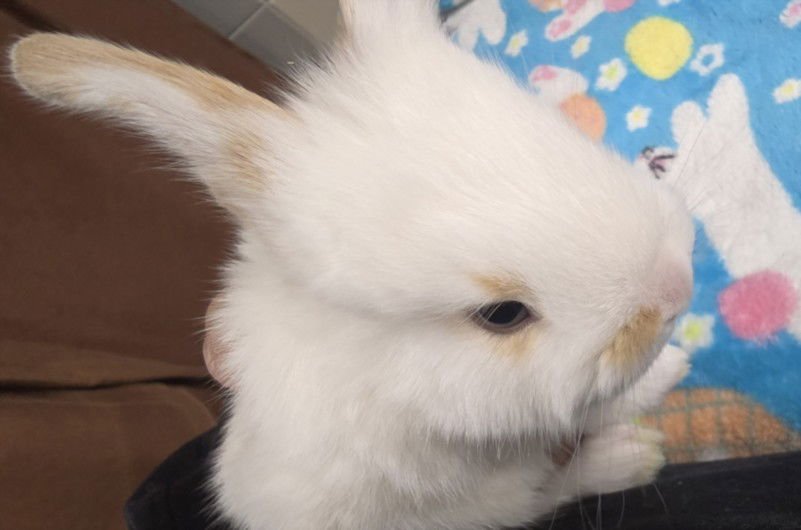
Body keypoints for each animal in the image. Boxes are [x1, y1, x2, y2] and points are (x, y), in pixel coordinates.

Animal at [8, 0, 694, 528]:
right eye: (502, 315)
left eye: (563, 134)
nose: (677, 288)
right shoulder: (493, 440)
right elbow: (582, 416)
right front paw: (665, 381)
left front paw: (671, 366)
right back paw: (636, 456)